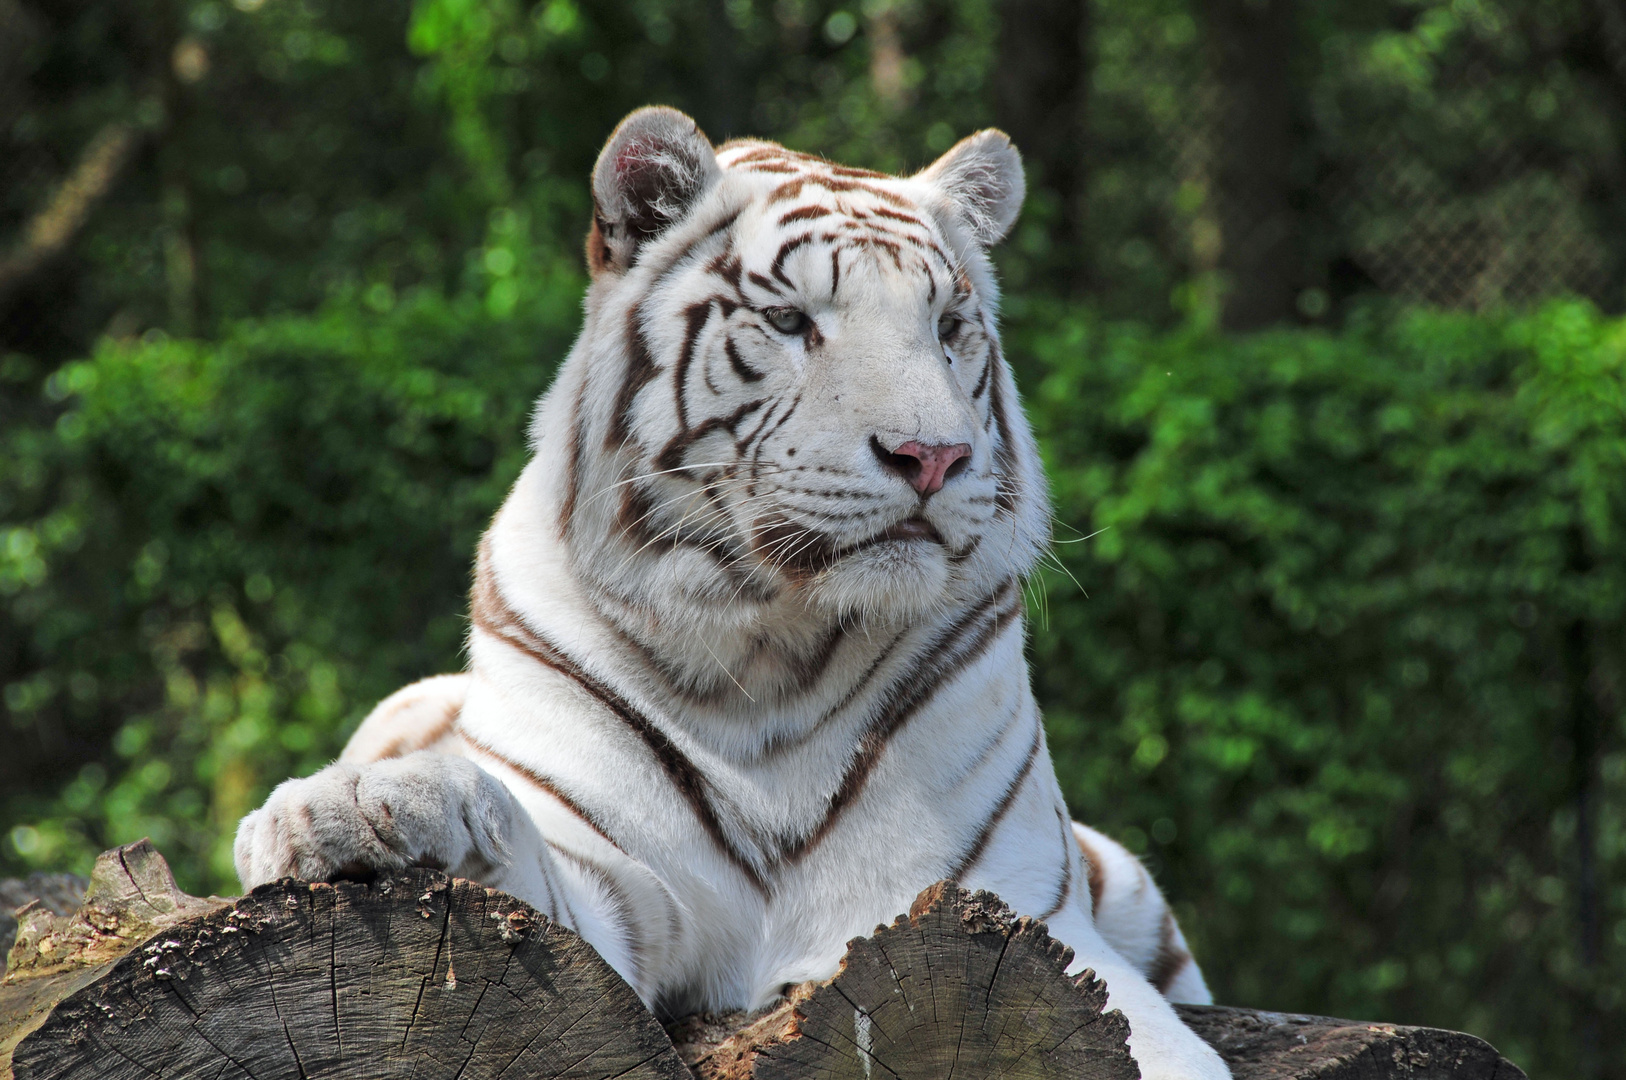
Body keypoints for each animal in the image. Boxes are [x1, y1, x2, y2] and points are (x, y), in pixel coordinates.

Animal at [235, 105, 1222, 1073]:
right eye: (789, 321)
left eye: (948, 326)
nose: (933, 456)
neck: (774, 649)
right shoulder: (605, 899)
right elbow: (516, 855)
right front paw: (351, 811)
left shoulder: (1035, 917)